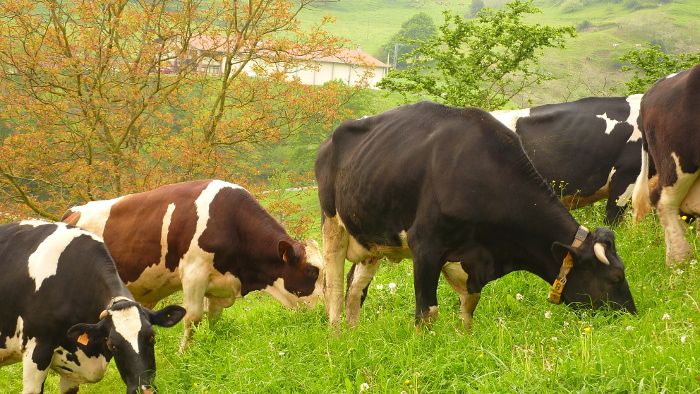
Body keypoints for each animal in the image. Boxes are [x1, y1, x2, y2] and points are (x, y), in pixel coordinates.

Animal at [62, 180, 322, 350]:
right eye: (312, 271)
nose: (323, 312)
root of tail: (71, 212)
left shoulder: (220, 284)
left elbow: (214, 317)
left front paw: (212, 344)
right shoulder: (193, 273)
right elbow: (193, 317)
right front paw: (184, 353)